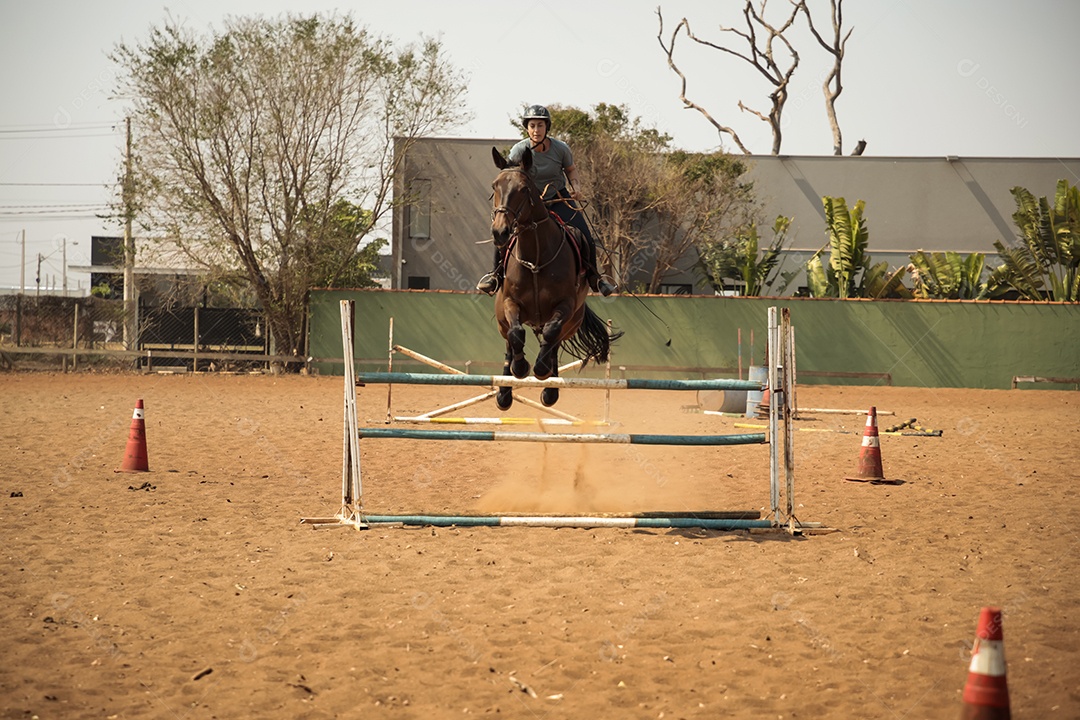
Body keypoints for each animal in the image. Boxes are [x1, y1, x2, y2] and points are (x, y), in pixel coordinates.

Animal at [489, 145, 621, 410]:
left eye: (524, 188)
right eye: (495, 186)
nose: (500, 232)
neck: (536, 258)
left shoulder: (565, 305)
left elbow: (550, 333)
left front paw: (540, 370)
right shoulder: (510, 303)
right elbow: (516, 333)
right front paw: (521, 368)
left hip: (572, 322)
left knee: (553, 343)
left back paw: (550, 388)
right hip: (501, 320)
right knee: (509, 342)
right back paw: (505, 392)